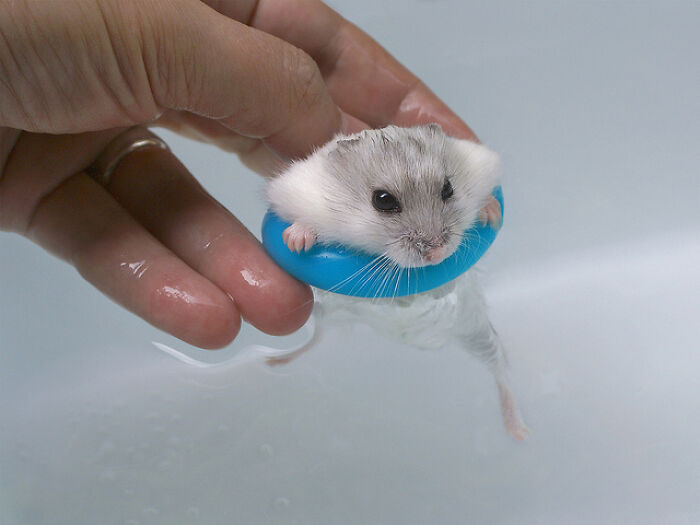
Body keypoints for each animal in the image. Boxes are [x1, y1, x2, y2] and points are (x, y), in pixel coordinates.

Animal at [265, 124, 528, 440]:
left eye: (448, 188)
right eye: (383, 200)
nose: (438, 253)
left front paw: (491, 213)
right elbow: (302, 224)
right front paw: (296, 242)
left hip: (474, 329)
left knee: (500, 368)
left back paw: (519, 431)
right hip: (327, 311)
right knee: (317, 337)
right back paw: (274, 361)